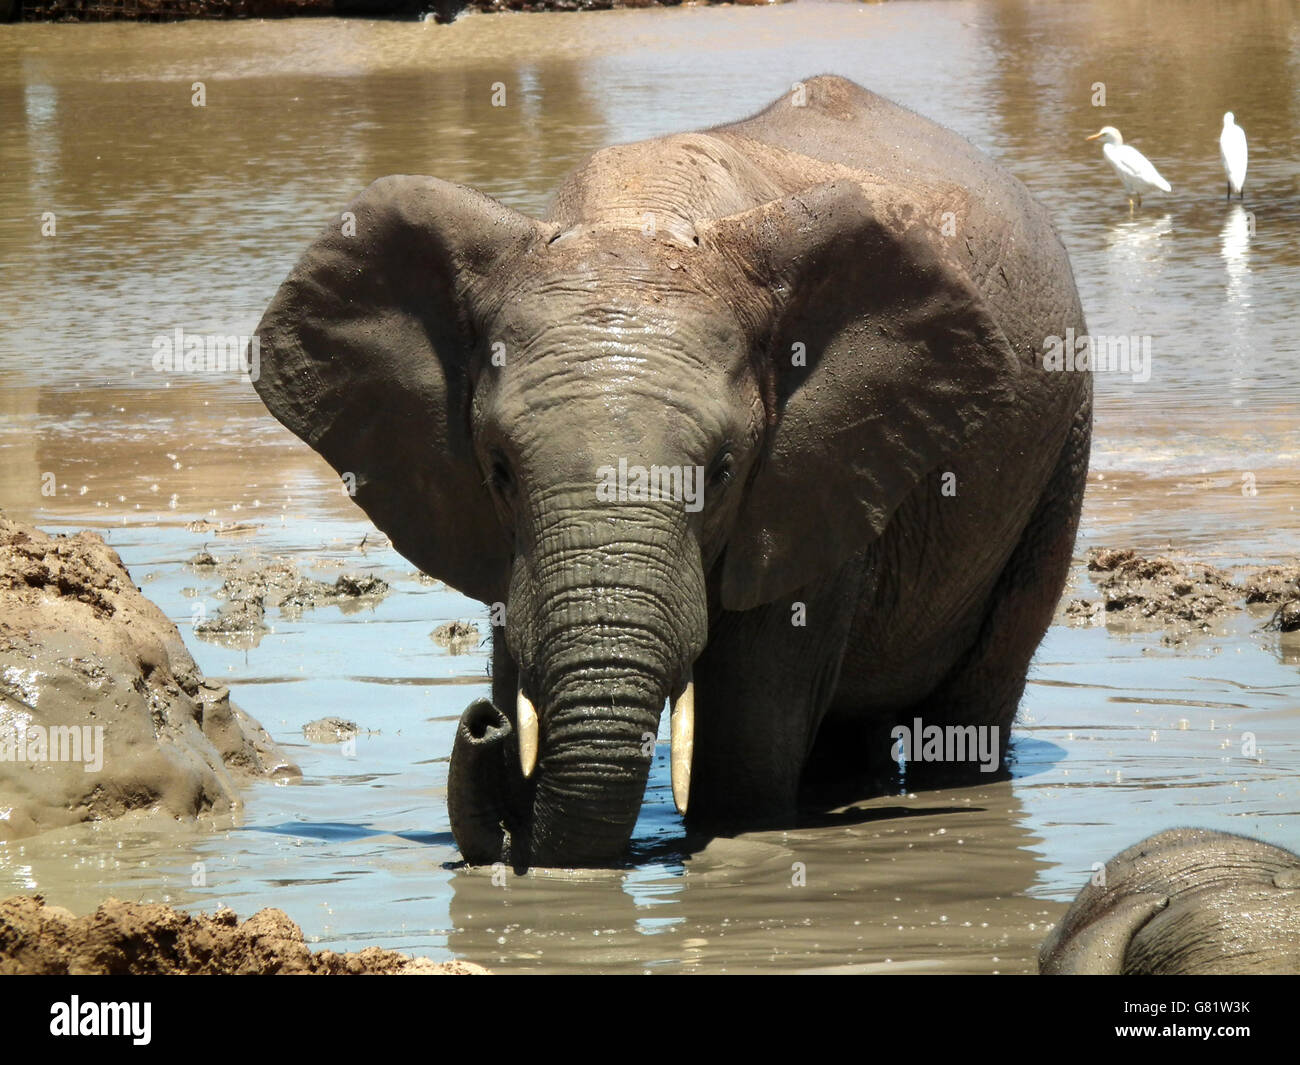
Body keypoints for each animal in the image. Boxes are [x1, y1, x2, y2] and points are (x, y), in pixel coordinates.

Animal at [248, 77, 1092, 873]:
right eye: (499, 470)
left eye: (722, 471)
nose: (481, 721)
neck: (637, 212)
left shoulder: (814, 478)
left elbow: (742, 741)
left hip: (1061, 449)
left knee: (974, 701)